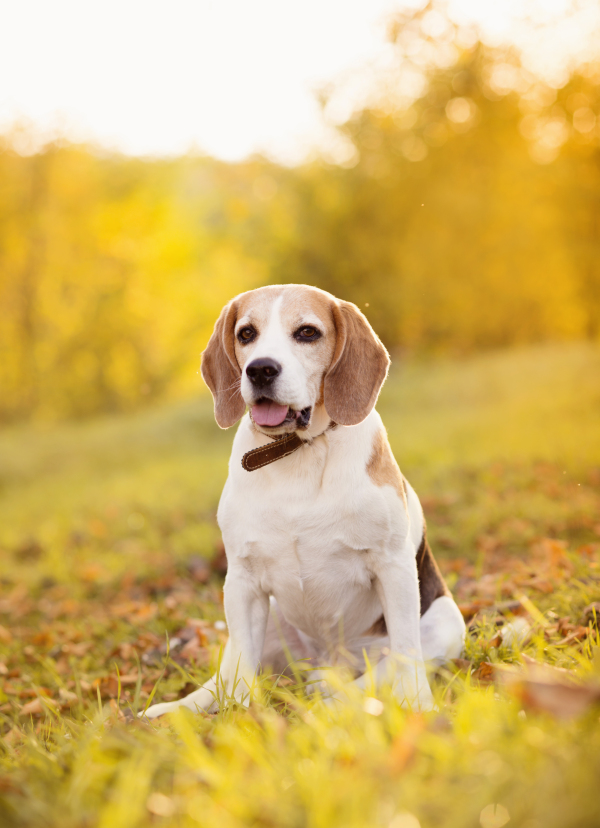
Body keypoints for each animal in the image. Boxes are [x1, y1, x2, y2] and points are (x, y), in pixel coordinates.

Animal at [144, 284, 464, 720]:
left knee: (378, 672)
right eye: (246, 334)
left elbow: (404, 653)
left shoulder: (394, 567)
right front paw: (238, 716)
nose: (260, 369)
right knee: (227, 671)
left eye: (308, 333)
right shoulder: (242, 581)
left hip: (445, 622)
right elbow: (238, 669)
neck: (297, 452)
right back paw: (177, 709)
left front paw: (418, 706)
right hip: (271, 620)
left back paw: (328, 699)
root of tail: (332, 660)